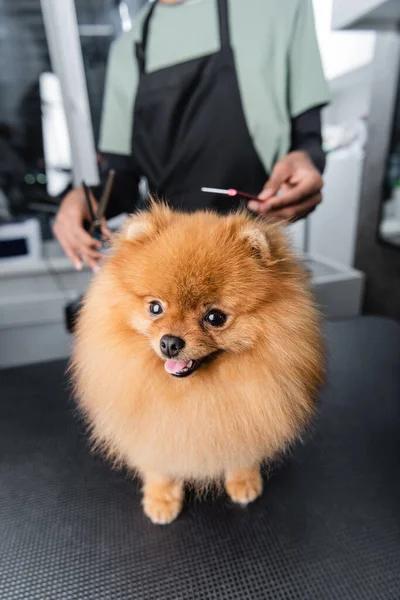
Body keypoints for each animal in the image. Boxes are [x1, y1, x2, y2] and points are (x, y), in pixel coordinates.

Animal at [71, 204, 322, 524]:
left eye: (215, 317)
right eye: (155, 308)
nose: (169, 343)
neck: (192, 392)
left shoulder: (250, 416)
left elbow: (242, 453)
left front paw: (244, 481)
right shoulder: (151, 428)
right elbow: (160, 466)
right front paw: (162, 499)